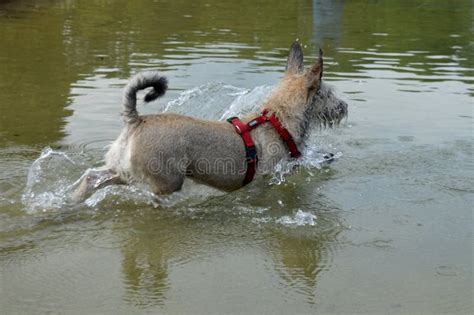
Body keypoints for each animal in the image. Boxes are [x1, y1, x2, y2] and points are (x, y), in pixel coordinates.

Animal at [72, 42, 348, 204]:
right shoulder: (266, 178)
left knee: (92, 177)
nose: (344, 107)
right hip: (166, 182)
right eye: (328, 93)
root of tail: (137, 120)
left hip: (122, 170)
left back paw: (74, 200)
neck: (277, 119)